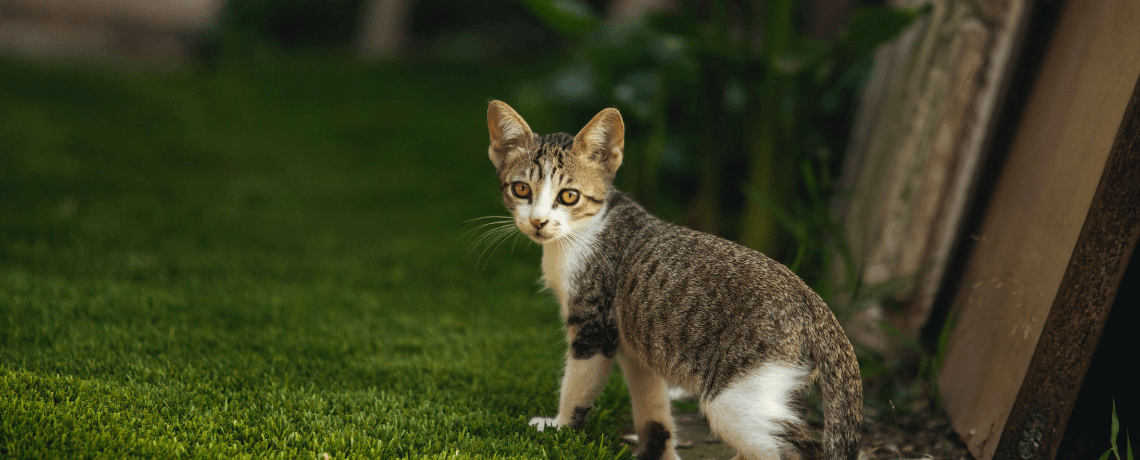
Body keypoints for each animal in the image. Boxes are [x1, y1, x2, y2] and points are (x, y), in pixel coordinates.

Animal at [483, 99, 861, 459]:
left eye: (569, 196)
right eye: (521, 189)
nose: (538, 221)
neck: (579, 234)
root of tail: (814, 303)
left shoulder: (595, 326)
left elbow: (578, 385)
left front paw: (559, 426)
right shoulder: (635, 346)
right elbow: (652, 410)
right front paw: (658, 450)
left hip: (735, 398)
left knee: (796, 448)